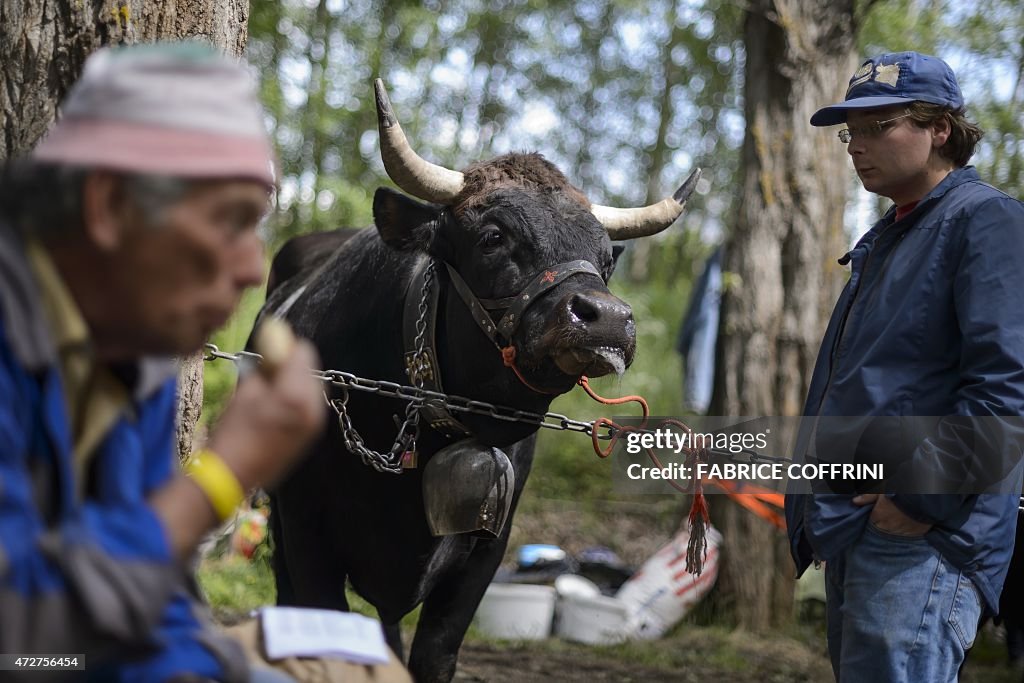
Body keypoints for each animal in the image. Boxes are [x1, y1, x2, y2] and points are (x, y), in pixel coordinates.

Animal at [252, 78, 700, 679]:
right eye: (492, 237)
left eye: (606, 259)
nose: (606, 317)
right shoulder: (303, 530)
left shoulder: (485, 550)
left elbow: (434, 653)